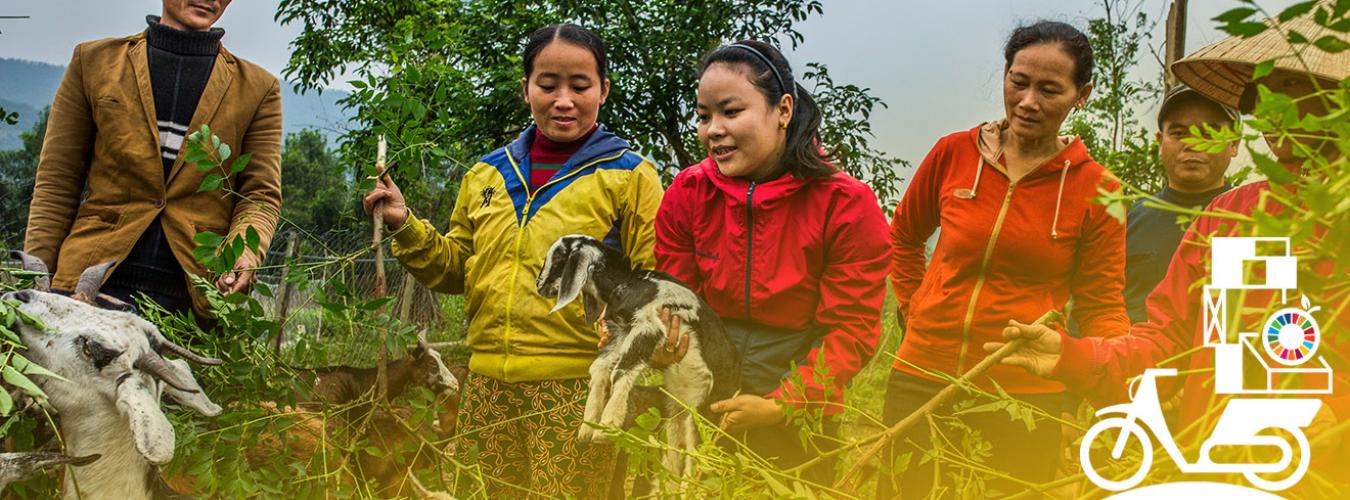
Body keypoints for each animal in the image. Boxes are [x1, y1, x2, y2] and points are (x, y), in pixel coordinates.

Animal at [531, 233, 739, 475]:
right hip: (677, 417)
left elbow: (621, 372)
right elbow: (600, 369)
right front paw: (588, 426)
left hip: (704, 419)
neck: (628, 283)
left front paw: (607, 427)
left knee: (700, 464)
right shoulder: (621, 332)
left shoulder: (647, 326)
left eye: (558, 257)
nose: (539, 284)